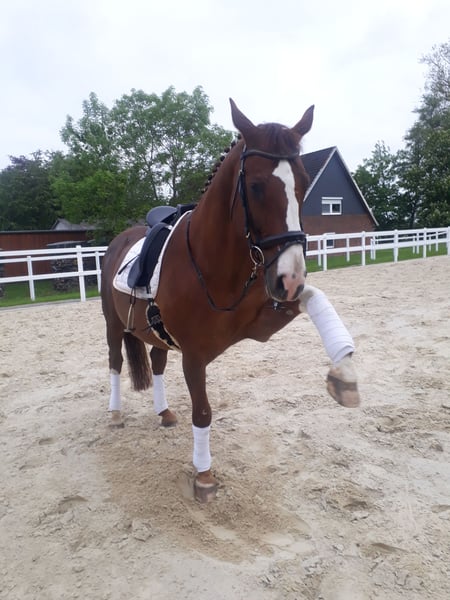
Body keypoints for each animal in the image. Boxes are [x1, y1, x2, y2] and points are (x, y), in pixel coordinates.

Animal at [101, 99, 360, 503]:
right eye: (255, 186)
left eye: (303, 184)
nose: (290, 277)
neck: (211, 265)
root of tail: (119, 240)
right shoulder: (194, 355)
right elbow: (204, 413)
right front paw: (204, 476)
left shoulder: (262, 322)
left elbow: (314, 296)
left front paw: (345, 372)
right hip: (113, 325)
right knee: (114, 363)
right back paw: (115, 415)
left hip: (156, 334)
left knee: (156, 364)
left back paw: (164, 413)